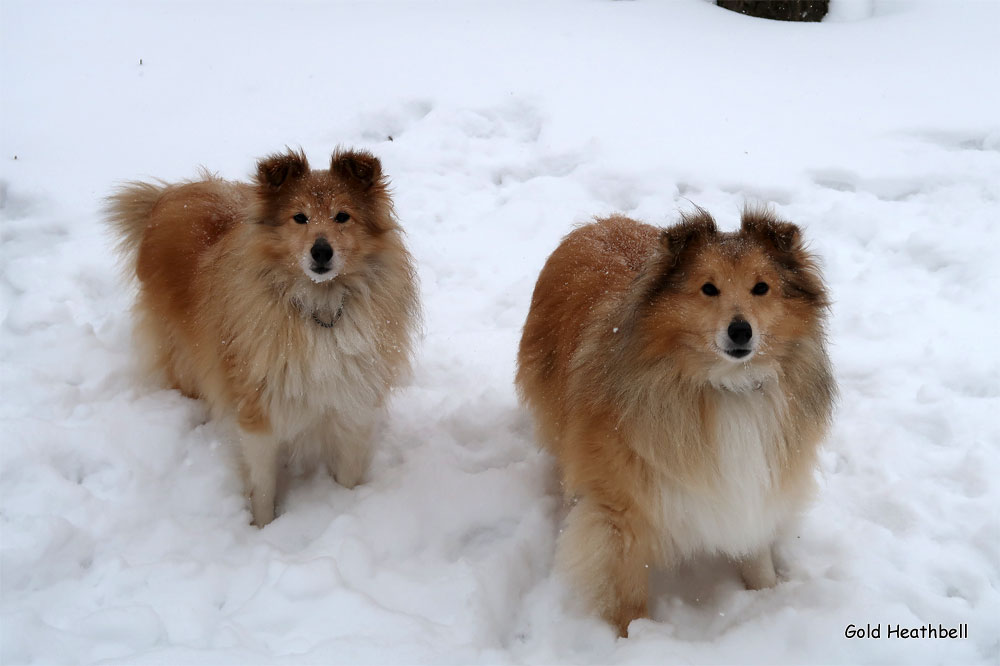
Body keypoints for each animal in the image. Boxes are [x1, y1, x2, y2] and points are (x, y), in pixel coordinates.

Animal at [107, 147, 420, 524]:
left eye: (342, 216)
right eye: (299, 217)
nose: (321, 251)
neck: (321, 308)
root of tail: (168, 196)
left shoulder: (352, 403)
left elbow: (347, 472)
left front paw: (347, 509)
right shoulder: (259, 408)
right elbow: (263, 484)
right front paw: (262, 526)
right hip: (182, 353)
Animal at [516, 206, 836, 632]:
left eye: (761, 287)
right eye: (708, 288)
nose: (740, 331)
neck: (726, 386)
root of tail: (598, 222)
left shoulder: (753, 484)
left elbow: (755, 552)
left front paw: (768, 598)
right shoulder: (621, 517)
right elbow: (627, 591)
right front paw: (633, 636)